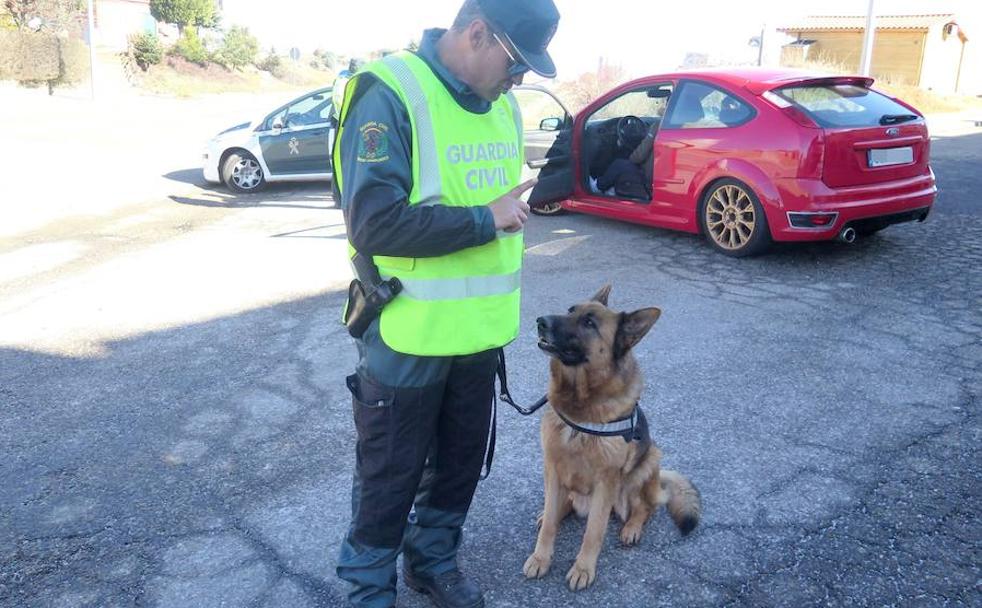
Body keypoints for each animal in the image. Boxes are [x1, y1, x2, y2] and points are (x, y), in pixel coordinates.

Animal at [524, 288, 700, 592]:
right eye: (570, 310)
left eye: (590, 324)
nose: (541, 321)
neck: (581, 406)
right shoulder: (552, 468)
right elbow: (548, 528)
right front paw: (540, 558)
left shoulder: (605, 482)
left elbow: (594, 530)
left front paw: (583, 568)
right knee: (560, 508)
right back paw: (553, 513)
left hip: (648, 462)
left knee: (646, 506)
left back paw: (632, 527)